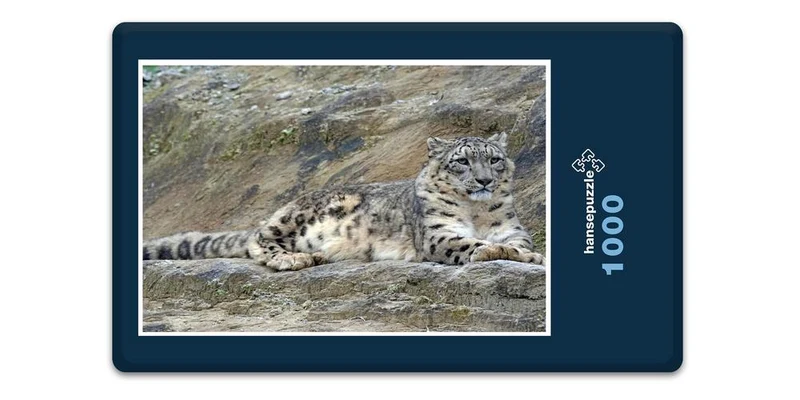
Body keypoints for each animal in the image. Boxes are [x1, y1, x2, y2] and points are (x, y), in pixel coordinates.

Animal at [143, 132, 545, 271]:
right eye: (462, 161)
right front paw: (493, 251)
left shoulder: (511, 228)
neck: (476, 212)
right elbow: (468, 243)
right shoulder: (437, 234)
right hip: (296, 216)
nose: (485, 180)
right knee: (259, 238)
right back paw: (294, 258)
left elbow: (518, 244)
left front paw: (524, 255)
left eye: (494, 159)